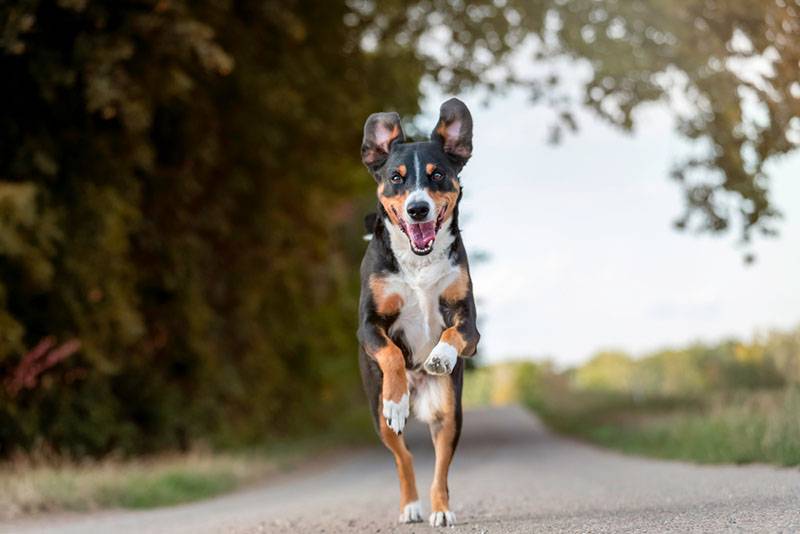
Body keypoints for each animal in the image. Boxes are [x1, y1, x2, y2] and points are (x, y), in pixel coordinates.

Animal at [358, 98, 482, 528]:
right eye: (396, 178)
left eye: (438, 174)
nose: (417, 209)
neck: (418, 262)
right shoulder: (368, 326)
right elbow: (392, 353)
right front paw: (396, 398)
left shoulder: (470, 326)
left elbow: (452, 334)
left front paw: (440, 357)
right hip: (377, 417)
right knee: (404, 458)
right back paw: (411, 505)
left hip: (450, 412)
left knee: (440, 466)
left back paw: (440, 509)